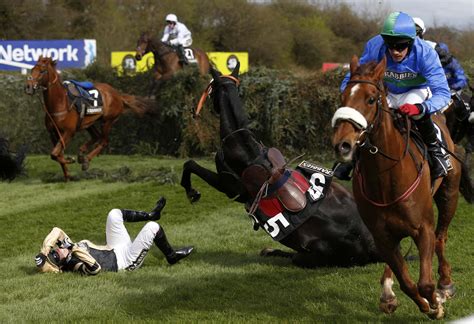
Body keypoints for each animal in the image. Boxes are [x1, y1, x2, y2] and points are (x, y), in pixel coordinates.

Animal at [334, 56, 474, 318]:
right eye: (343, 97)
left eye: (371, 99)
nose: (343, 145)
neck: (386, 178)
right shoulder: (381, 235)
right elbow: (407, 282)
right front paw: (420, 303)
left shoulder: (423, 229)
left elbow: (425, 282)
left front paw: (436, 303)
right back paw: (388, 293)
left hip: (449, 196)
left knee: (441, 238)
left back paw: (445, 284)